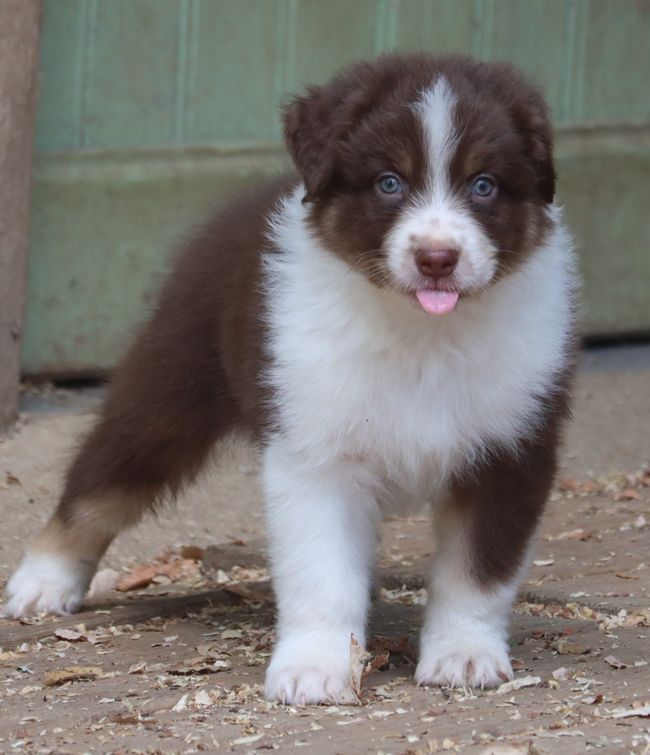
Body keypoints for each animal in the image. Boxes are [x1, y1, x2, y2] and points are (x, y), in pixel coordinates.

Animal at [5, 54, 576, 708]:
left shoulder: (512, 450)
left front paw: (463, 655)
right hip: (168, 391)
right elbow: (321, 573)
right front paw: (314, 669)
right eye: (389, 183)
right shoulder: (315, 454)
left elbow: (477, 574)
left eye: (484, 185)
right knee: (98, 484)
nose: (437, 258)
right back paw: (42, 581)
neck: (422, 334)